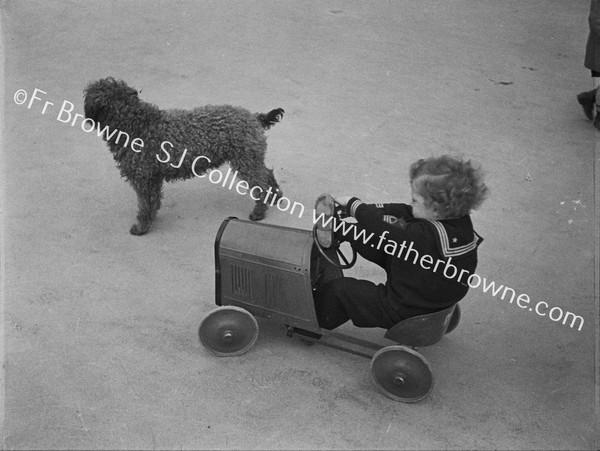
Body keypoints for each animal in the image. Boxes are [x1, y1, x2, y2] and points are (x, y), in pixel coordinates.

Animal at [82, 77, 286, 237]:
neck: (136, 125)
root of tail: (254, 117)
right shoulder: (152, 178)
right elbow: (153, 201)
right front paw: (152, 217)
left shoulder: (143, 179)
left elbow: (145, 205)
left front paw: (142, 227)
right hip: (252, 159)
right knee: (267, 174)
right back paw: (275, 197)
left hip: (245, 161)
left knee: (261, 185)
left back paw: (259, 212)